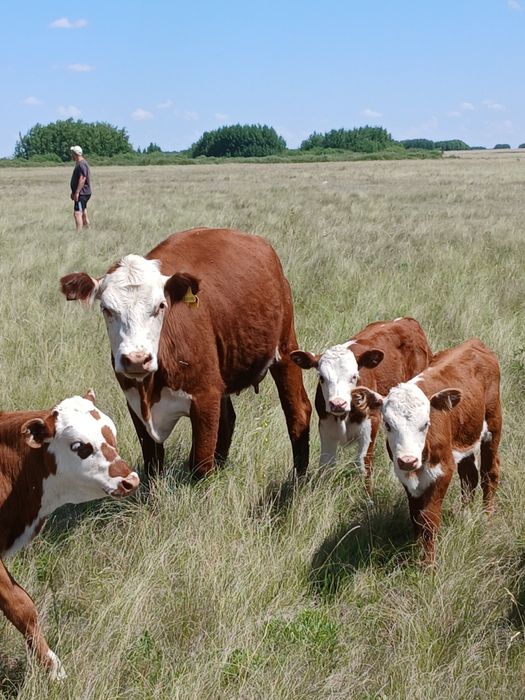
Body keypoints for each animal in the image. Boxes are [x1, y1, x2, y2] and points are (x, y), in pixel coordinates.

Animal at [59, 227, 312, 480]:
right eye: (107, 309)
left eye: (160, 306)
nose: (137, 360)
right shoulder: (135, 403)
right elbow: (152, 464)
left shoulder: (205, 396)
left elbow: (201, 462)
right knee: (228, 420)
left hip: (286, 349)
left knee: (298, 411)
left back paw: (298, 477)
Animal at [290, 317, 432, 492]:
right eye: (322, 377)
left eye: (354, 376)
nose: (338, 404)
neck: (344, 416)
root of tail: (405, 319)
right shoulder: (326, 426)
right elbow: (327, 465)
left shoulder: (371, 423)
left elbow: (364, 466)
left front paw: (367, 496)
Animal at [352, 338, 502, 564]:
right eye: (388, 424)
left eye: (426, 424)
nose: (408, 460)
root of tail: (474, 343)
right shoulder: (405, 474)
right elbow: (416, 518)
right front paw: (417, 555)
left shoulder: (442, 471)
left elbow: (429, 521)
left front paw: (429, 565)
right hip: (465, 437)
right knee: (469, 476)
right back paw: (466, 515)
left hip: (493, 425)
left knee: (489, 474)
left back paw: (487, 519)